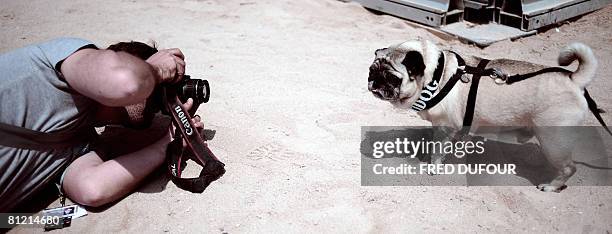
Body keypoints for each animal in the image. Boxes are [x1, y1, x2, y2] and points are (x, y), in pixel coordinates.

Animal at [368, 38, 596, 192]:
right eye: (371, 71)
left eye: (392, 78)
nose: (374, 82)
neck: (437, 75)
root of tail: (574, 80)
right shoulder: (453, 127)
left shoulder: (444, 126)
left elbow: (437, 150)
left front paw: (433, 167)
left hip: (553, 140)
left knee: (569, 168)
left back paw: (551, 186)